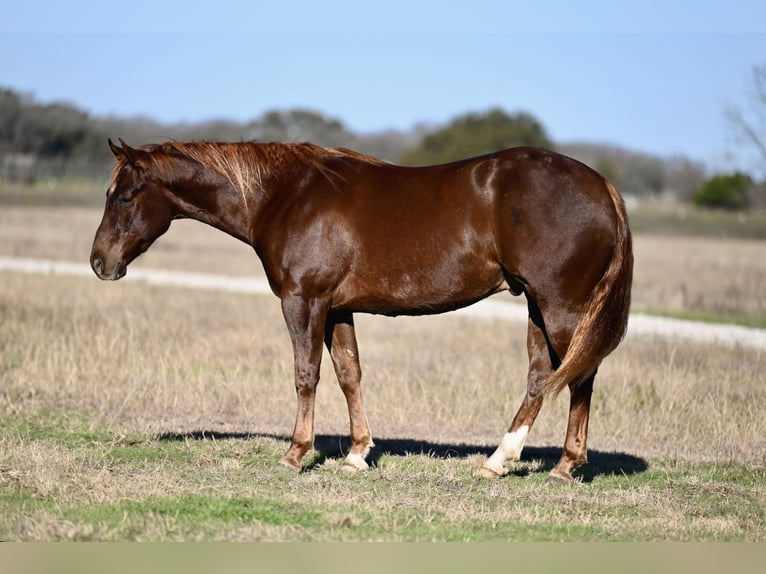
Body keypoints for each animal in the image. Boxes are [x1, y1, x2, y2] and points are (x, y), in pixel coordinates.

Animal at [90, 140, 632, 486]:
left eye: (124, 196)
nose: (99, 262)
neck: (286, 196)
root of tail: (604, 186)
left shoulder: (303, 300)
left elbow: (306, 374)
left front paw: (295, 454)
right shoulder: (337, 308)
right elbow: (349, 374)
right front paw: (356, 454)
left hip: (560, 307)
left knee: (579, 377)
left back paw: (564, 466)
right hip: (538, 307)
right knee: (543, 377)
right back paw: (499, 460)